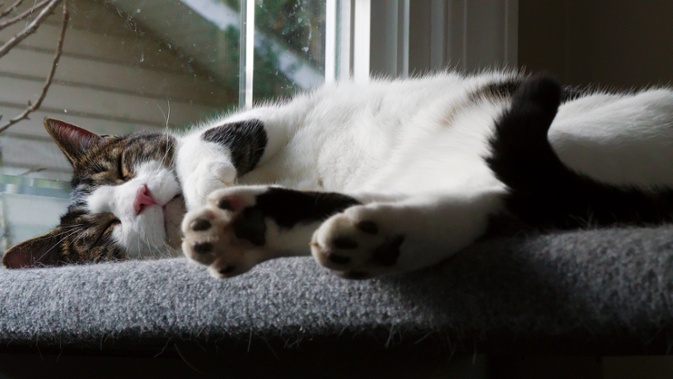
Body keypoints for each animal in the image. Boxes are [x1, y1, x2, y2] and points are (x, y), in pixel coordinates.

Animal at [3, 70, 672, 280]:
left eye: (119, 167)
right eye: (101, 233)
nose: (140, 195)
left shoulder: (268, 118)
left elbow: (208, 145)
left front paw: (208, 186)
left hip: (584, 125)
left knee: (499, 199)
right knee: (485, 205)